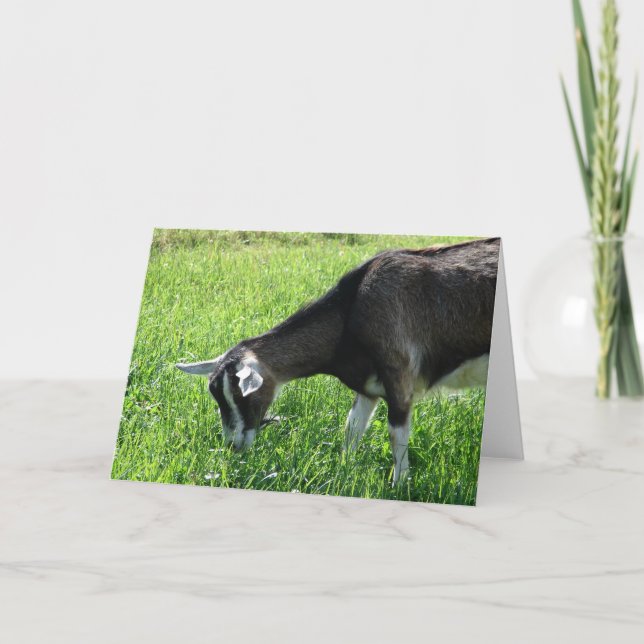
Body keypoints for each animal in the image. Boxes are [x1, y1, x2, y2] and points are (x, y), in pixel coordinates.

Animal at [176, 237, 500, 484]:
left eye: (242, 395)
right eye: (217, 397)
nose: (233, 445)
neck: (351, 312)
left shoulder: (399, 378)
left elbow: (396, 436)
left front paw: (399, 486)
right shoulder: (369, 387)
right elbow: (352, 428)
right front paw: (343, 472)